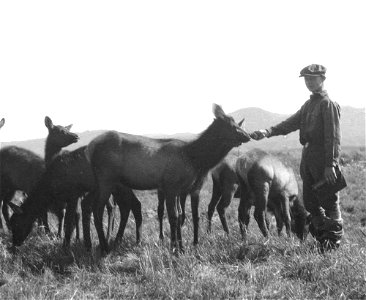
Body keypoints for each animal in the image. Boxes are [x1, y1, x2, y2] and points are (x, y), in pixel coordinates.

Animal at [86, 104, 252, 254]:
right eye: (230, 125)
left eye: (237, 123)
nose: (248, 136)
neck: (195, 159)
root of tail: (90, 148)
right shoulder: (171, 186)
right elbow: (173, 216)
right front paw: (175, 248)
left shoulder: (181, 189)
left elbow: (182, 216)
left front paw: (182, 246)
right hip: (106, 178)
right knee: (97, 208)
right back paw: (104, 246)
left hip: (108, 183)